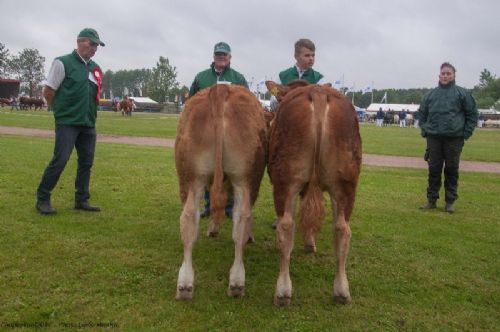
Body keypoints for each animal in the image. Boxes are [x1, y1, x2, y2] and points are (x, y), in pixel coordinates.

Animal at [174, 83, 272, 300]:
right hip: (246, 178)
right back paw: (237, 282)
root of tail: (221, 88)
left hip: (192, 177)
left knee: (189, 218)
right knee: (243, 218)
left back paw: (185, 284)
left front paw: (213, 228)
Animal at [268, 80, 362, 306]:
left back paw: (283, 291)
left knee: (286, 226)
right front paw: (310, 242)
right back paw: (341, 291)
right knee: (342, 229)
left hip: (286, 180)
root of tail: (317, 92)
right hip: (346, 183)